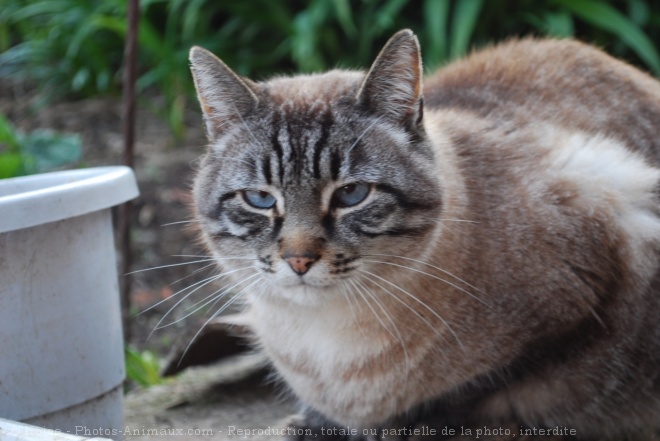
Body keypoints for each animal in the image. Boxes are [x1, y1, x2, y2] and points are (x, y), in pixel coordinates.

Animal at [186, 29, 660, 438]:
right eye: (260, 199)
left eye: (351, 194)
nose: (298, 260)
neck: (327, 342)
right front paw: (319, 423)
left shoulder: (591, 280)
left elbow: (470, 390)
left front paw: (400, 425)